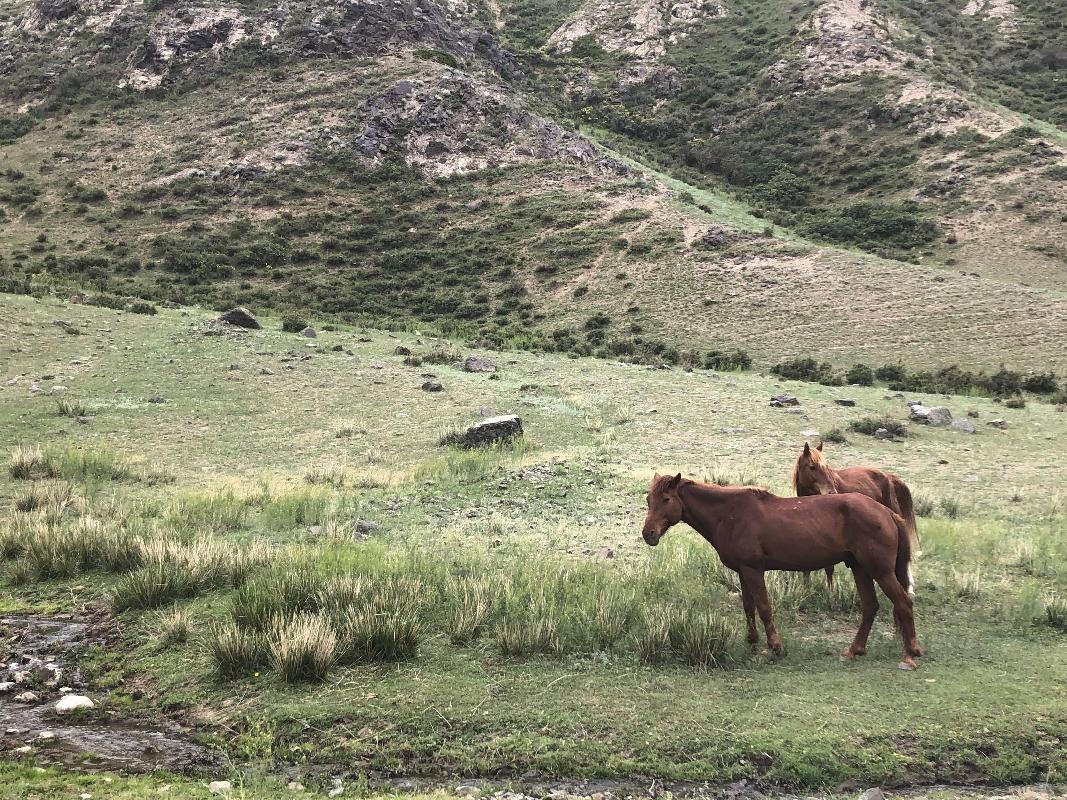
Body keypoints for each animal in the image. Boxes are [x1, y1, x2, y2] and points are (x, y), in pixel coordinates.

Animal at [641, 473, 923, 670]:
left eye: (666, 500)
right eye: (648, 500)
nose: (648, 534)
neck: (730, 514)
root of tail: (886, 512)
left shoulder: (753, 570)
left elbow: (764, 607)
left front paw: (773, 647)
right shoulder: (743, 571)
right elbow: (748, 606)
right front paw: (752, 640)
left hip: (880, 571)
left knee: (903, 603)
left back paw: (910, 655)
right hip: (860, 569)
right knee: (870, 607)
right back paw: (854, 650)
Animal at [792, 441, 919, 593]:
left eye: (827, 467)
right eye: (812, 467)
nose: (831, 492)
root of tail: (889, 477)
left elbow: (829, 568)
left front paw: (830, 591)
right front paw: (805, 587)